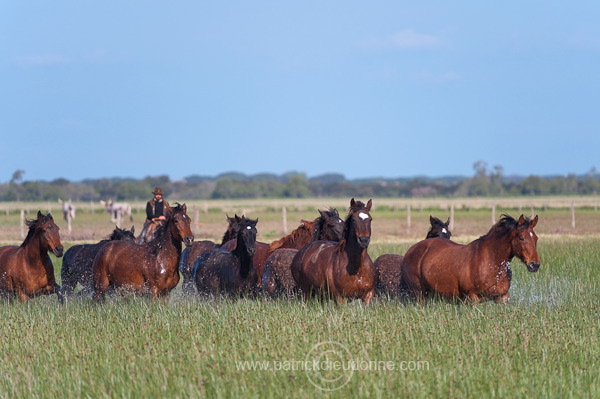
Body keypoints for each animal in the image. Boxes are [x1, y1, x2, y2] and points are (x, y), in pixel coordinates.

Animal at [400, 214, 540, 304]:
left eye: (536, 238)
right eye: (521, 237)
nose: (535, 265)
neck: (490, 262)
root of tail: (412, 250)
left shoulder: (502, 298)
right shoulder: (472, 298)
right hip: (419, 295)